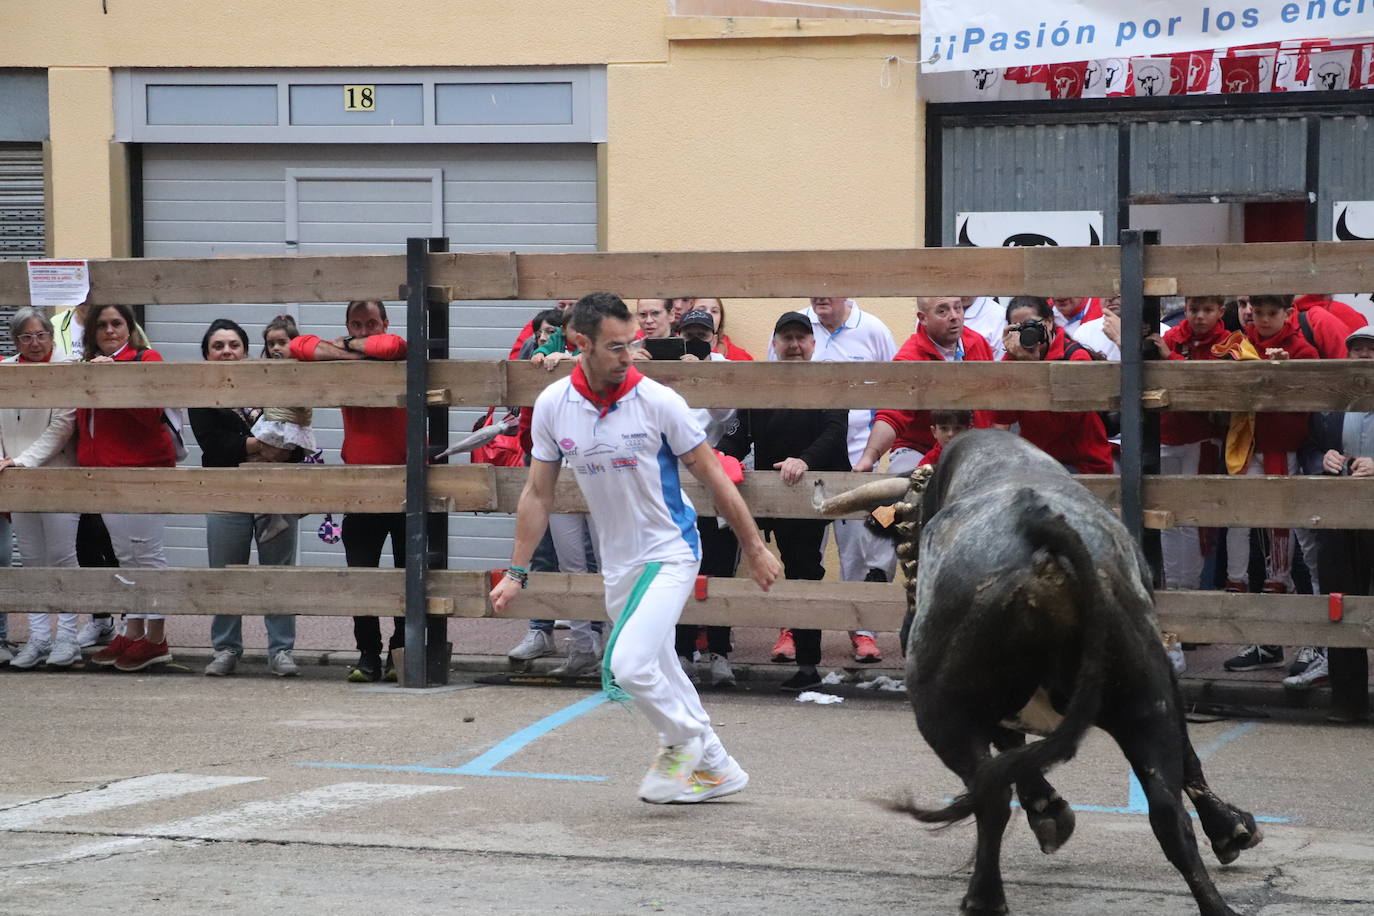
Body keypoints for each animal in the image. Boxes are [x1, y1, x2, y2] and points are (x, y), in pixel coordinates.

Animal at [818, 431, 1258, 916]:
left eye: (906, 545)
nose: (904, 625)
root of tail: (1037, 527)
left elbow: (1010, 756)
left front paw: (1048, 811)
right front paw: (1232, 829)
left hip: (941, 711)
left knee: (990, 793)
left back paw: (984, 896)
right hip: (1144, 696)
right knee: (1167, 808)